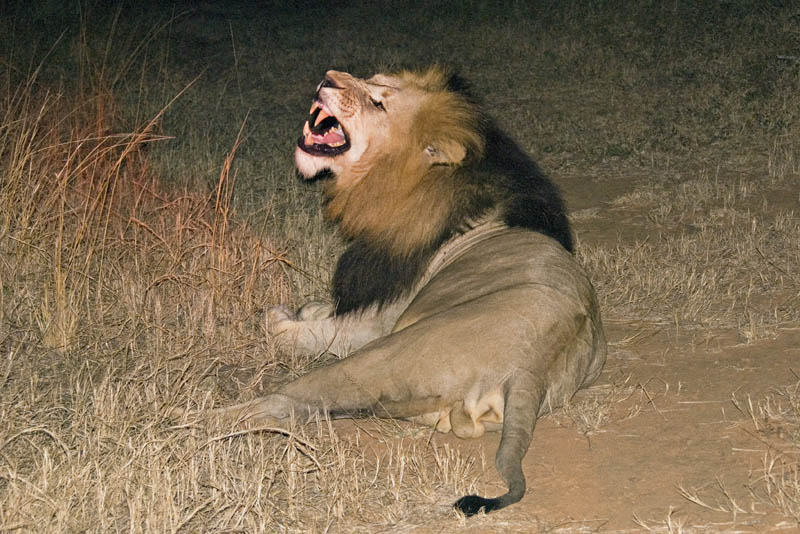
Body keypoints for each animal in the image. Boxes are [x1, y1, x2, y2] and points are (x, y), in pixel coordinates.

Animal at [217, 67, 607, 516]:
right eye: (372, 78)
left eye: (379, 101)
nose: (329, 78)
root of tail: (531, 370)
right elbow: (322, 312)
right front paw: (309, 309)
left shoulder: (377, 321)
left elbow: (290, 331)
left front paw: (281, 319)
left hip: (381, 354)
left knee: (280, 403)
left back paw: (193, 418)